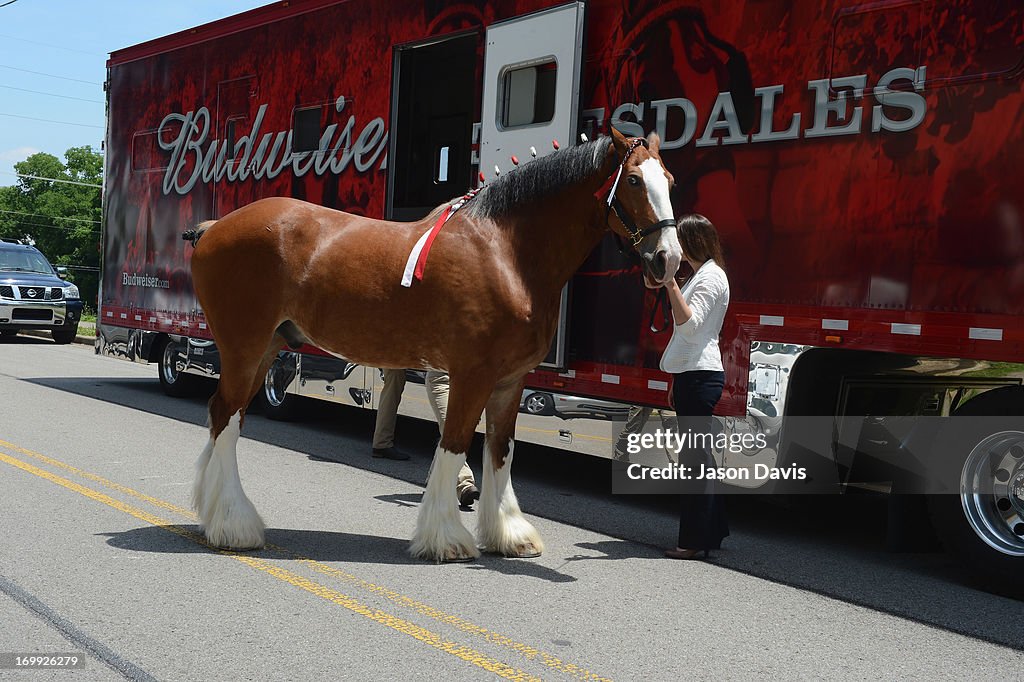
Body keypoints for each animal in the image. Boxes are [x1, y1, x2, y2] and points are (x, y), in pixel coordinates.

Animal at [186, 125, 679, 557]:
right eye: (634, 180)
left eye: (670, 181)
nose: (668, 259)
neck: (506, 253)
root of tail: (214, 227)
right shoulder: (471, 375)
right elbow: (456, 443)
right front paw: (446, 538)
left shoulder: (510, 382)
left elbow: (501, 451)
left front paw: (509, 534)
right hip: (245, 349)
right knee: (226, 418)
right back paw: (235, 525)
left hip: (264, 351)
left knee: (225, 416)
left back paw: (215, 517)